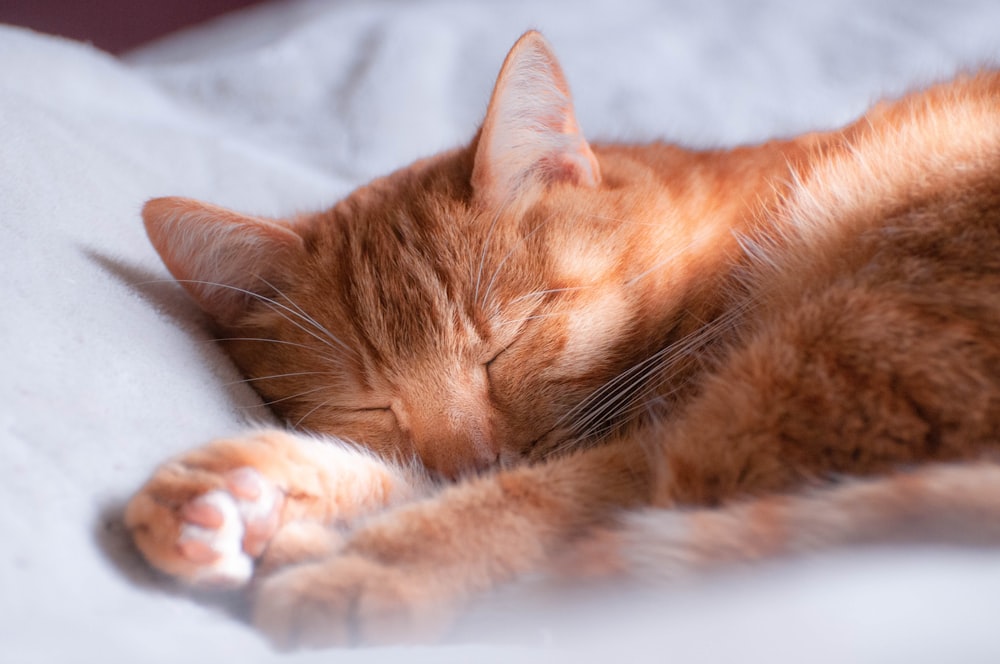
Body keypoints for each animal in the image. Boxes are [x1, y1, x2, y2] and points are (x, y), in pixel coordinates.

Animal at [127, 31, 1000, 648]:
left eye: (503, 348)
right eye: (372, 405)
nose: (471, 459)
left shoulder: (659, 430)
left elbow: (537, 492)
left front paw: (358, 549)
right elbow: (446, 476)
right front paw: (247, 493)